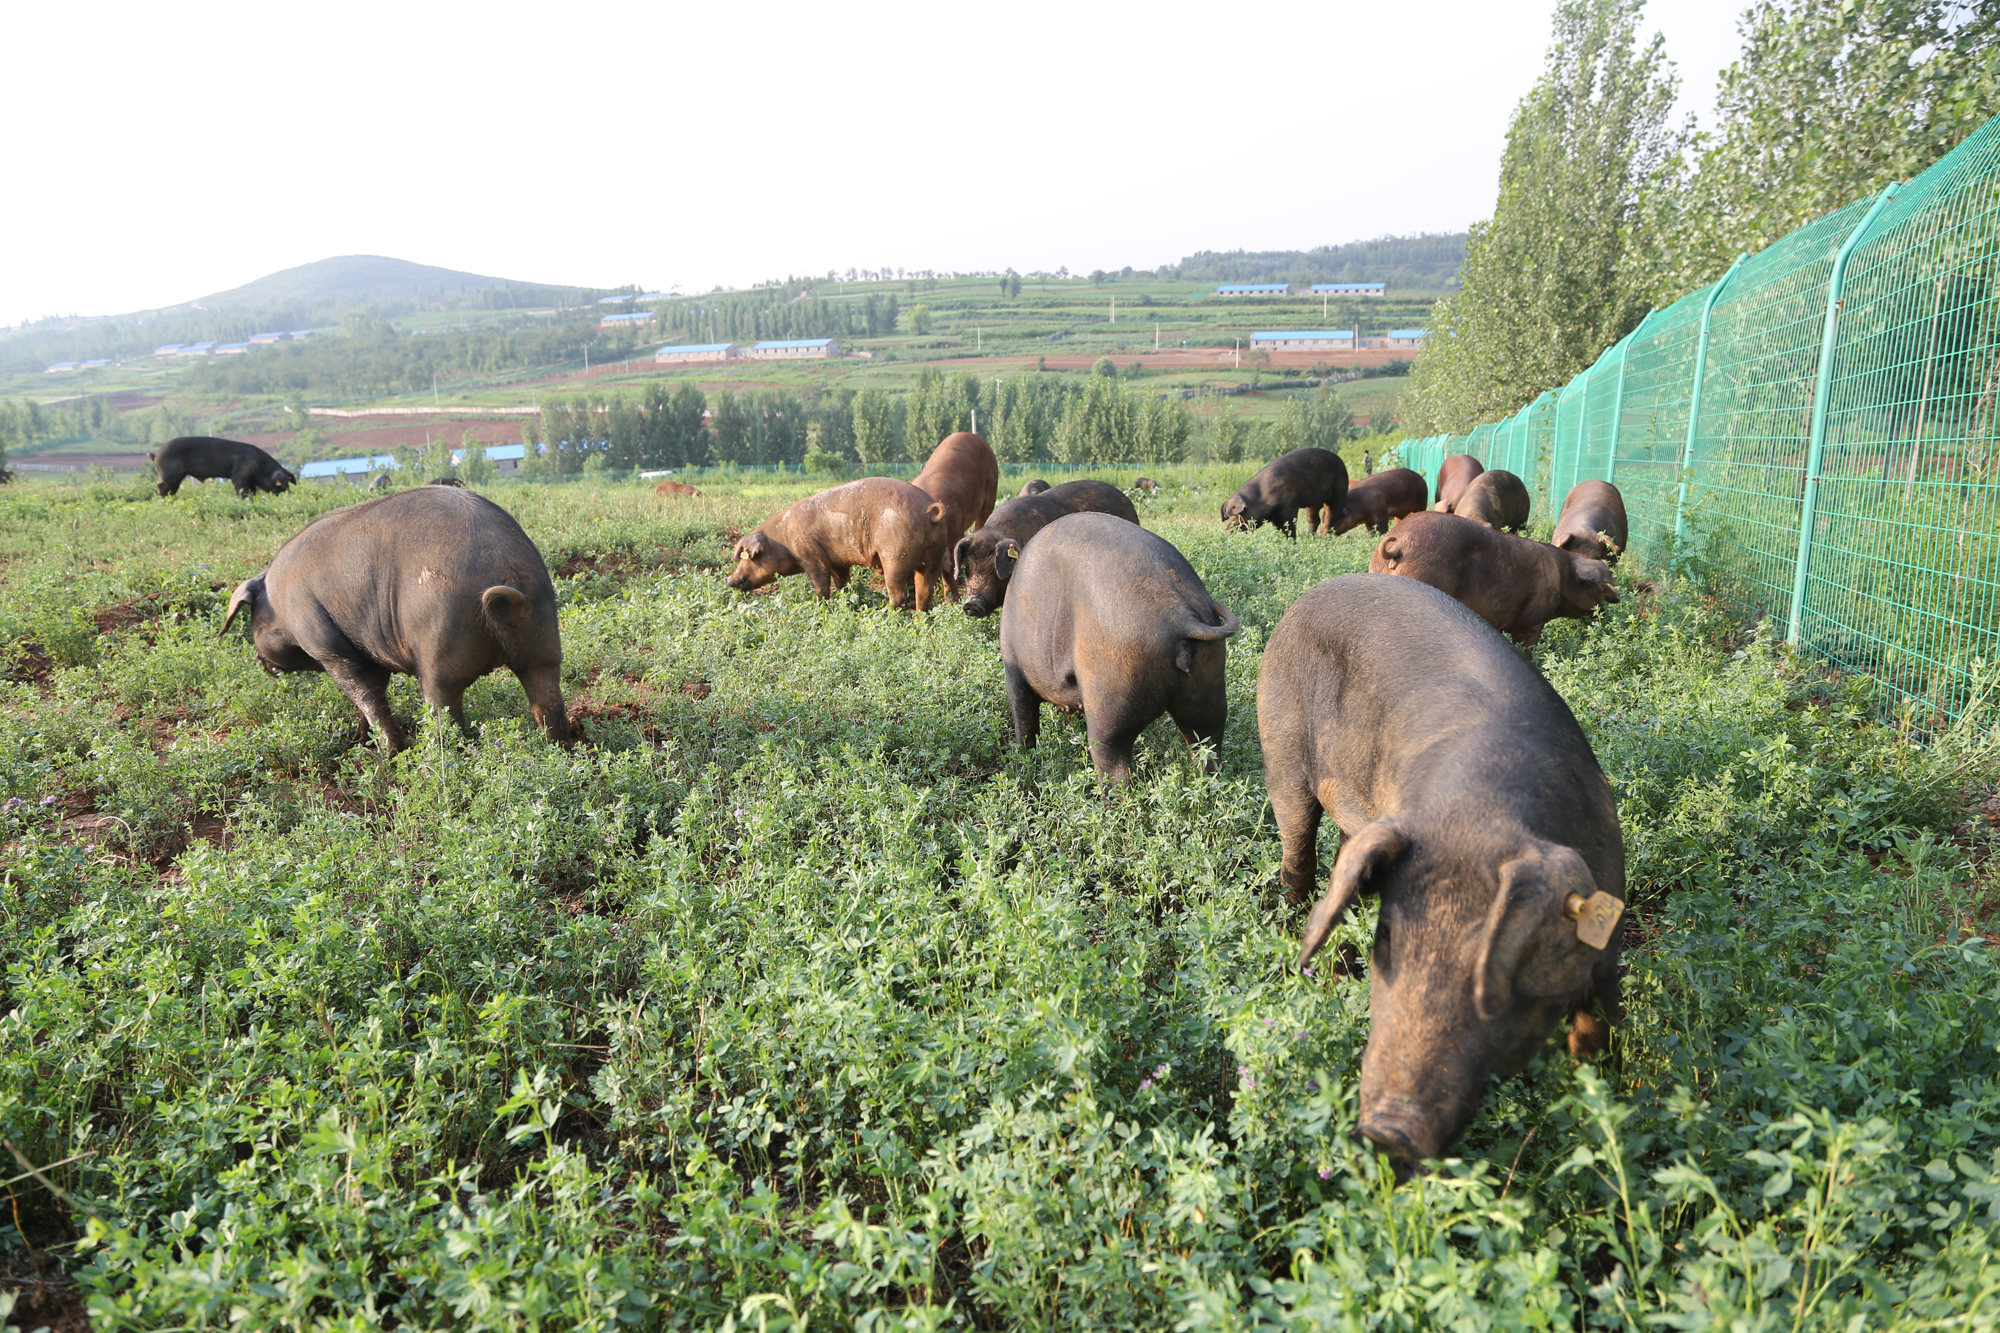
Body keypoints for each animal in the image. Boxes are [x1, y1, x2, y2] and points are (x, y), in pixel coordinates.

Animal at [728, 474, 944, 608]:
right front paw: (845, 599)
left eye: (747, 558)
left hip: (895, 556)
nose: (728, 579)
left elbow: (821, 584)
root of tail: (927, 512)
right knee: (925, 593)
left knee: (898, 593)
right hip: (934, 558)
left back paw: (889, 615)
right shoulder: (838, 562)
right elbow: (842, 583)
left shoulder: (810, 555)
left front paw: (820, 606)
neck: (783, 539)